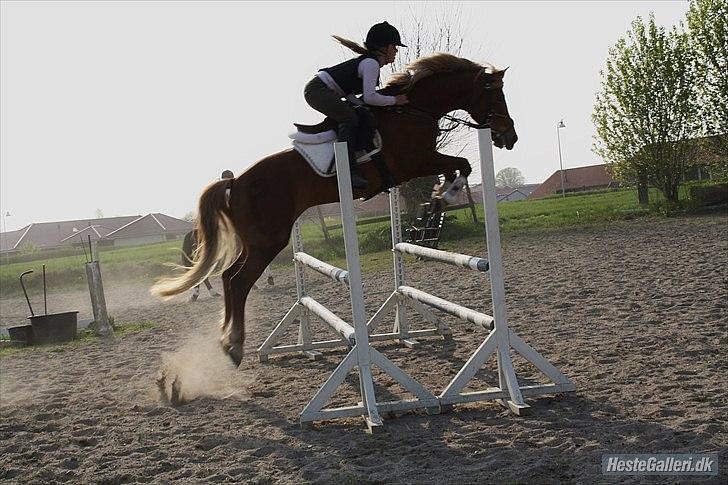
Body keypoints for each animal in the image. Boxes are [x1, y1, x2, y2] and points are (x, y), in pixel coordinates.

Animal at [152, 53, 518, 367]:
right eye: (496, 95)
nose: (509, 137)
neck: (414, 110)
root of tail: (236, 182)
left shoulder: (420, 164)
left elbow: (456, 167)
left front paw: (436, 201)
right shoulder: (416, 162)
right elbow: (462, 164)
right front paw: (445, 195)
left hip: (255, 240)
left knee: (229, 278)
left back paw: (226, 340)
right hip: (269, 239)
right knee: (238, 281)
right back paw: (234, 346)